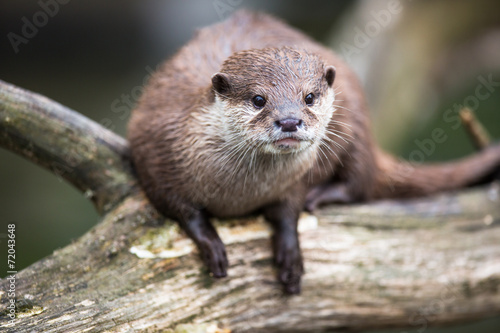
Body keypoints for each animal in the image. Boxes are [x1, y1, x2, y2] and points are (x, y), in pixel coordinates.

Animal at [129, 10, 500, 292]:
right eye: (258, 99)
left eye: (308, 97)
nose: (290, 121)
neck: (240, 191)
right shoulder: (155, 150)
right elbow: (180, 209)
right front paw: (211, 244)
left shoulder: (294, 181)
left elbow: (289, 210)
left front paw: (290, 253)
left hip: (357, 127)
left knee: (361, 180)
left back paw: (323, 195)